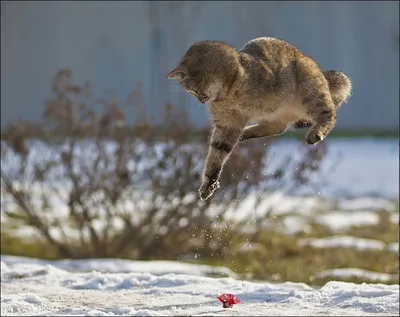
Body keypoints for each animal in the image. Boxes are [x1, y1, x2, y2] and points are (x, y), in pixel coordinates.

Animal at [167, 37, 352, 200]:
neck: (228, 92)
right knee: (279, 127)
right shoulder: (228, 124)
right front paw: (208, 184)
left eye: (193, 90)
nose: (200, 100)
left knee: (329, 115)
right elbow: (217, 153)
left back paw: (315, 133)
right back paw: (246, 134)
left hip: (310, 89)